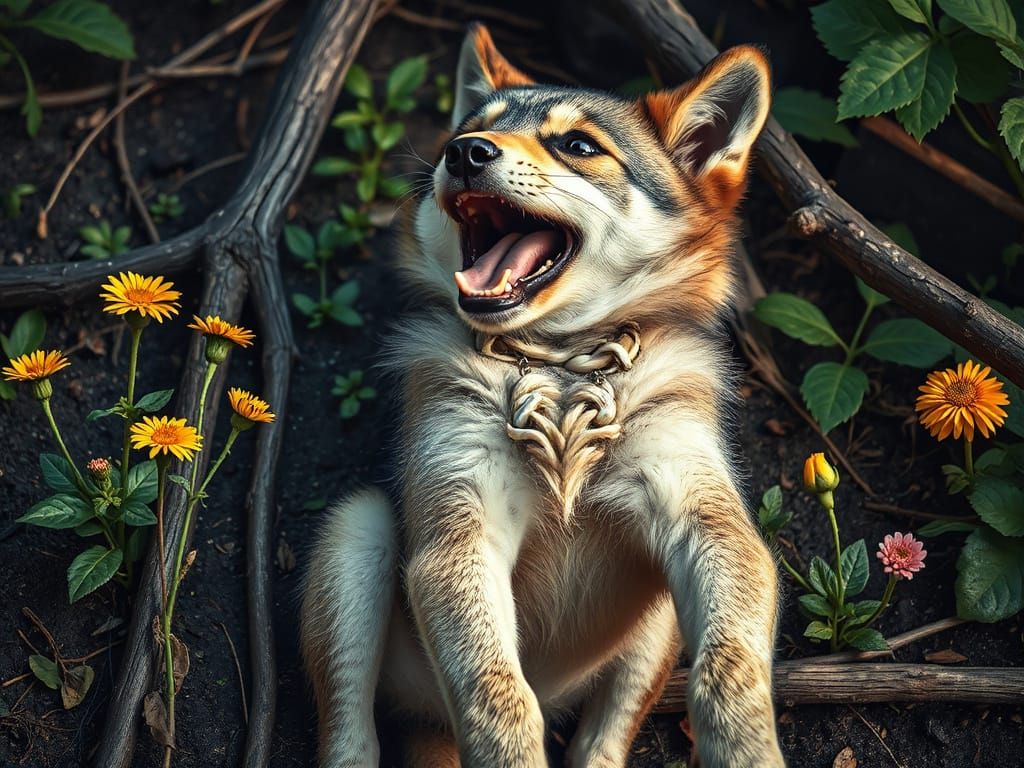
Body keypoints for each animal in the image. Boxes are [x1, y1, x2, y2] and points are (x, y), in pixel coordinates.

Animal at [301, 23, 783, 768]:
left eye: (579, 145)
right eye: (469, 129)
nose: (463, 151)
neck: (559, 368)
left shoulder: (704, 516)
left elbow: (731, 666)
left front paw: (747, 745)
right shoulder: (460, 531)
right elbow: (498, 697)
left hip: (653, 632)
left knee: (604, 736)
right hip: (359, 535)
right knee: (351, 734)